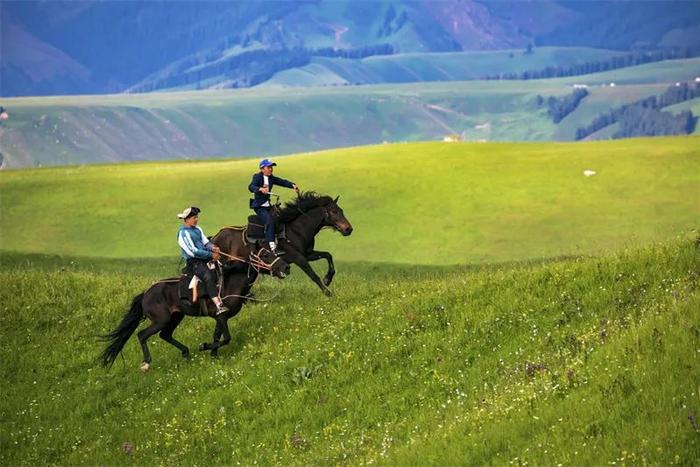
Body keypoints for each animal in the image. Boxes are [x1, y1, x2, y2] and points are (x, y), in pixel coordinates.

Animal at [98, 247, 288, 372]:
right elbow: (226, 338)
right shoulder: (221, 316)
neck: (229, 282)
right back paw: (146, 363)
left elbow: (217, 336)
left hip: (176, 317)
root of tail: (146, 293)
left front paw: (213, 356)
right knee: (142, 335)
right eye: (265, 254)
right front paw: (204, 347)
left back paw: (185, 353)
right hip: (161, 320)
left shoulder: (220, 318)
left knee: (165, 335)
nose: (286, 267)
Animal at [216, 193, 352, 296]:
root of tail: (215, 237)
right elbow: (313, 275)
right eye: (333, 211)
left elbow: (328, 255)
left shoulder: (308, 254)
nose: (348, 229)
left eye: (341, 210)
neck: (297, 230)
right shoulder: (299, 258)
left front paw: (328, 279)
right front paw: (328, 293)